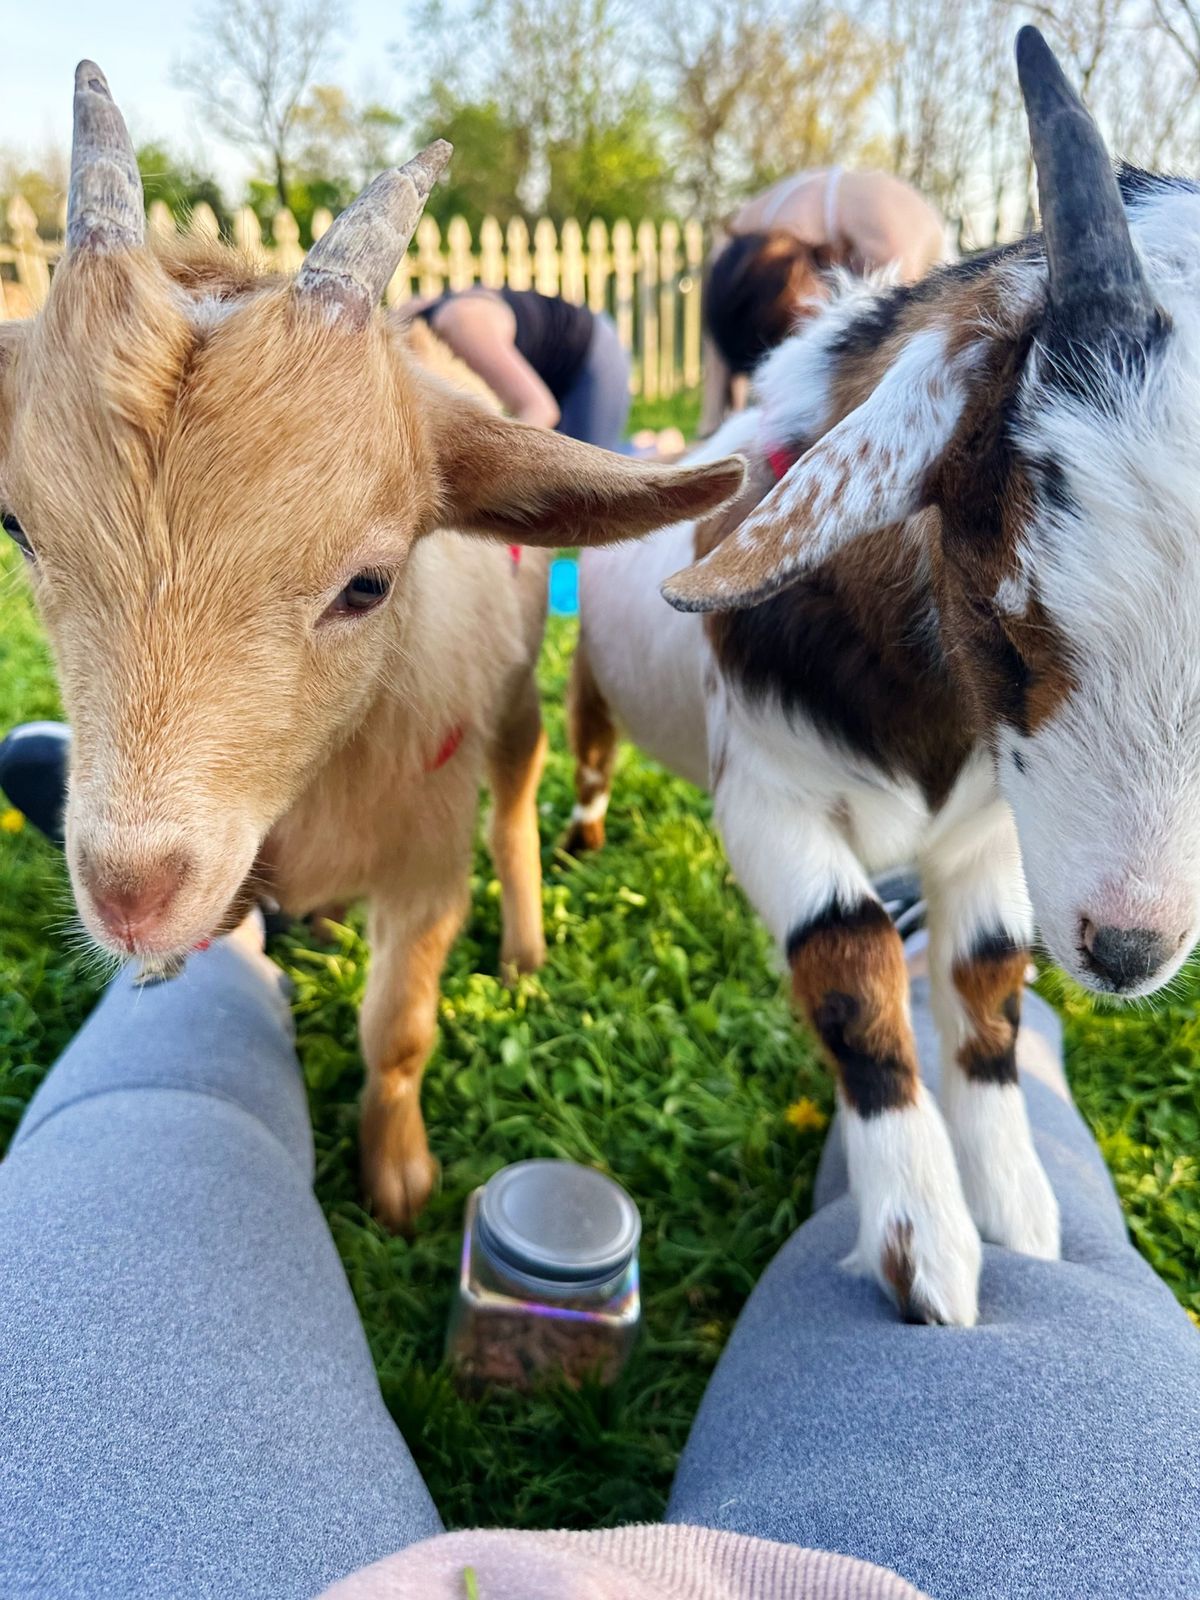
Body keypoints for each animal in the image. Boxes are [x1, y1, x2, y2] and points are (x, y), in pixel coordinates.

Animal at [0, 65, 742, 1222]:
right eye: (19, 529)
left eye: (368, 583)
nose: (129, 896)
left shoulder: (426, 859)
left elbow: (397, 1028)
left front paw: (400, 1180)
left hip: (517, 703)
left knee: (518, 800)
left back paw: (525, 948)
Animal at [569, 28, 1200, 1324]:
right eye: (1009, 628)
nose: (1130, 952)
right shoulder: (766, 796)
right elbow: (849, 958)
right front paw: (927, 1250)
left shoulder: (996, 832)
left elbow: (990, 980)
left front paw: (1017, 1211)